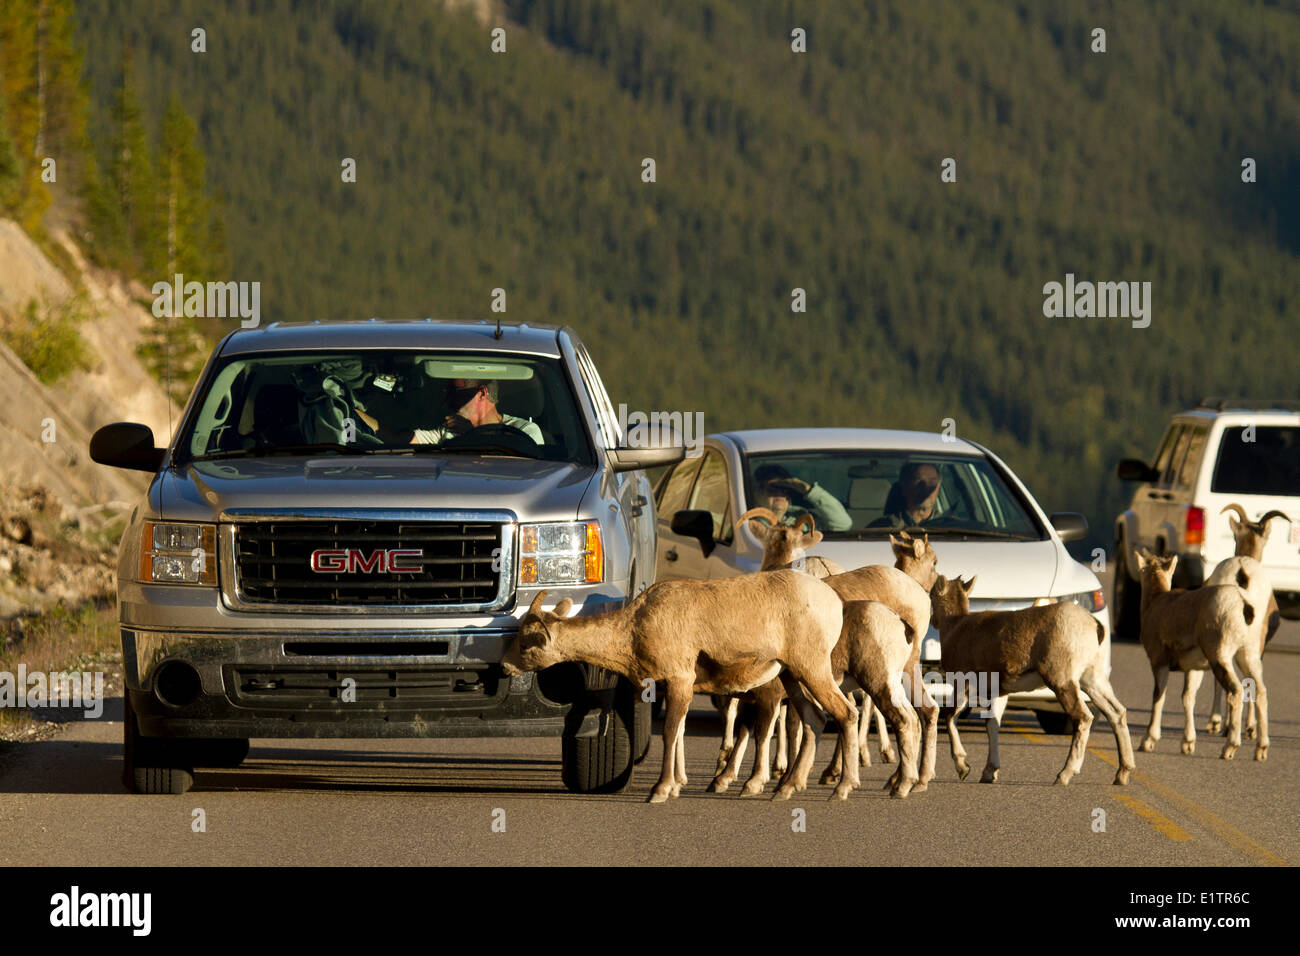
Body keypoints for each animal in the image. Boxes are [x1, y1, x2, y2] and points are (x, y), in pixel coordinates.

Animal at [499, 572, 863, 806]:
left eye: (527, 644)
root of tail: (833, 603)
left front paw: (660, 791)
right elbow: (680, 732)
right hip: (792, 676)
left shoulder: (679, 680)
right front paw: (675, 786)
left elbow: (670, 732)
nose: (504, 666)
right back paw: (784, 790)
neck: (634, 628)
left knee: (846, 713)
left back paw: (841, 789)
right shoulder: (678, 687)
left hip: (812, 669)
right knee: (815, 719)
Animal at [930, 574, 1133, 785]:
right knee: (1117, 713)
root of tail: (1093, 624)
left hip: (1062, 682)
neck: (956, 626)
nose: (933, 621)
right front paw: (989, 773)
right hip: (1092, 681)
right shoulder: (998, 693)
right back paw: (1122, 774)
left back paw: (1063, 775)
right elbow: (992, 725)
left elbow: (950, 717)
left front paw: (963, 768)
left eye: (931, 595)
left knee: (1084, 717)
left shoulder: (963, 684)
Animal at [1138, 546, 1268, 764]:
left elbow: (1158, 697)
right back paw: (1261, 750)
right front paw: (1188, 744)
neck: (1156, 604)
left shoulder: (1159, 664)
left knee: (1236, 692)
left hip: (1220, 657)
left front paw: (1148, 741)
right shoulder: (1194, 669)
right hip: (1248, 655)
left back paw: (1229, 748)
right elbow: (1188, 698)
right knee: (1260, 692)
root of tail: (1243, 604)